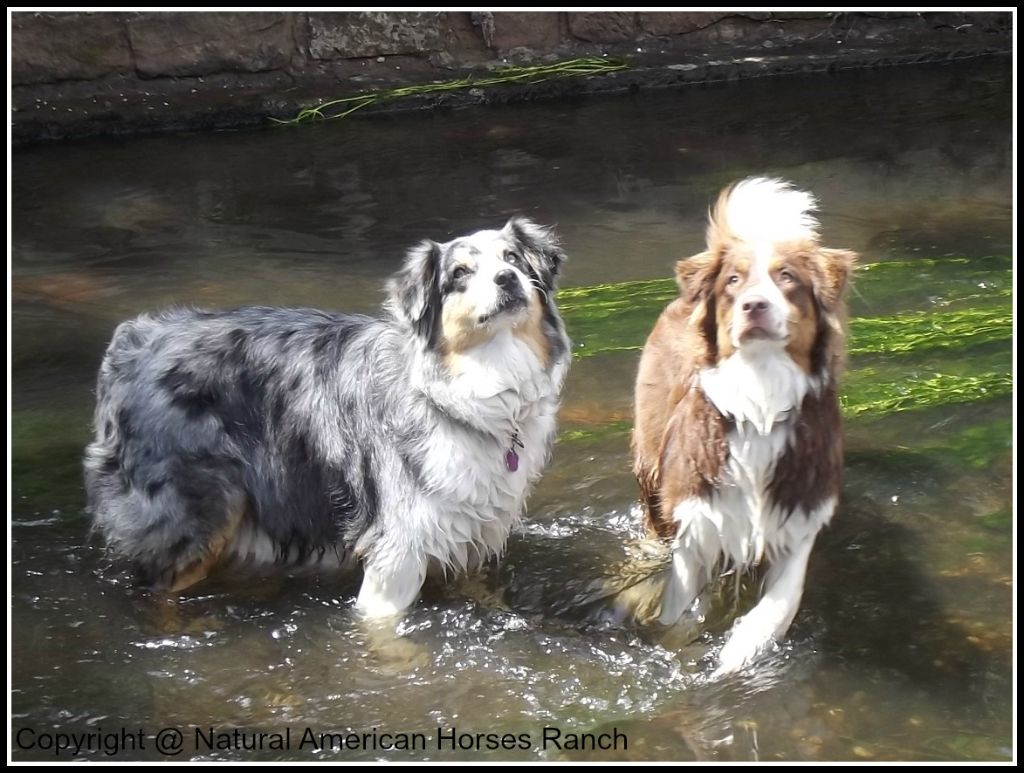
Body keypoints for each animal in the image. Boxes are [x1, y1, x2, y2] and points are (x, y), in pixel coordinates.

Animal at [630, 178, 856, 675]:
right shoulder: (696, 519)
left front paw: (737, 654)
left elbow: (777, 608)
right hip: (651, 461)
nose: (755, 304)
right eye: (734, 281)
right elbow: (675, 611)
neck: (760, 395)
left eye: (787, 277)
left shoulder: (799, 516)